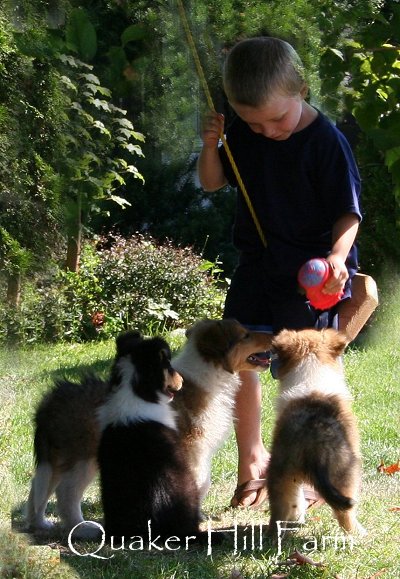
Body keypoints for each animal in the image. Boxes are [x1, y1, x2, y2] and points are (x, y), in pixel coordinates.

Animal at [266, 328, 366, 540]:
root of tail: (314, 444)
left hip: (281, 472)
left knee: (281, 507)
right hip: (346, 472)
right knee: (344, 512)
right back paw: (359, 533)